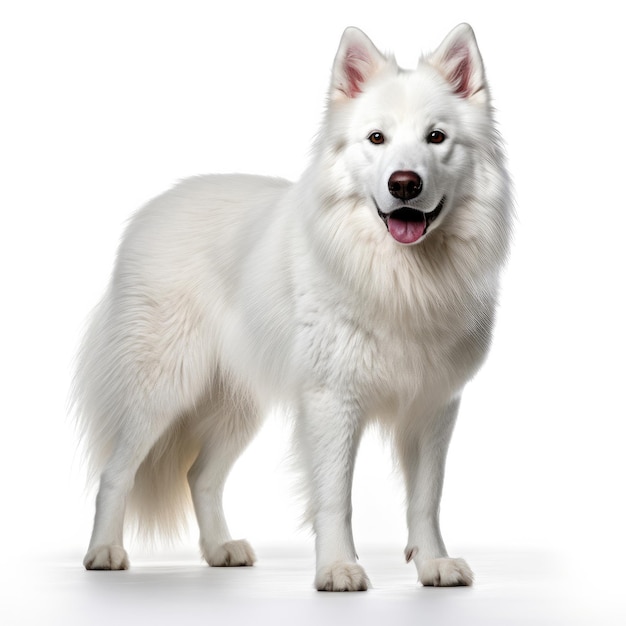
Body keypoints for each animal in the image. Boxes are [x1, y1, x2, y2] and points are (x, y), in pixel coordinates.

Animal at [74, 23, 512, 588]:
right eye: (377, 139)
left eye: (436, 138)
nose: (404, 184)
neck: (399, 276)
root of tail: (152, 210)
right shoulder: (332, 401)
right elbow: (335, 497)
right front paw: (339, 568)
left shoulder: (433, 405)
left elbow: (426, 498)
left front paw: (434, 563)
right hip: (162, 391)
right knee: (115, 471)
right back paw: (104, 552)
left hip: (237, 404)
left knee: (200, 476)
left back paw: (221, 549)